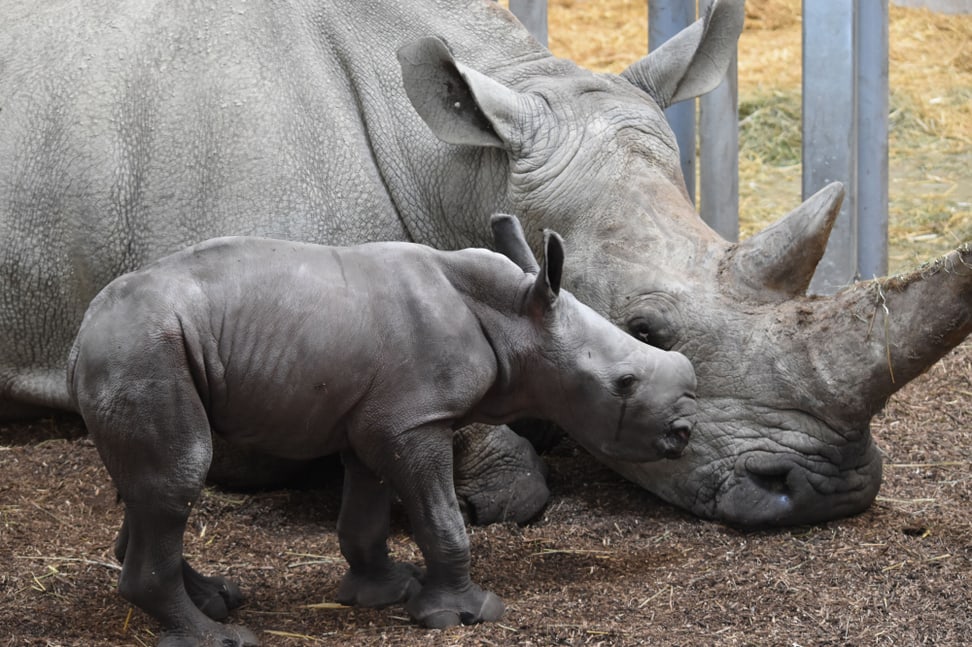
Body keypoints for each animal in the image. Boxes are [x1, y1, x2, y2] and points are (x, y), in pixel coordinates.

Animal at [68, 214, 696, 647]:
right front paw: (465, 615)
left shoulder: (376, 420)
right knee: (179, 476)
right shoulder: (415, 421)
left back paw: (218, 600)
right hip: (142, 352)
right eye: (624, 383)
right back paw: (220, 637)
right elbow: (442, 520)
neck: (514, 316)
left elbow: (364, 516)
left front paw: (385, 593)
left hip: (141, 352)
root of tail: (80, 336)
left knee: (153, 489)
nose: (684, 431)